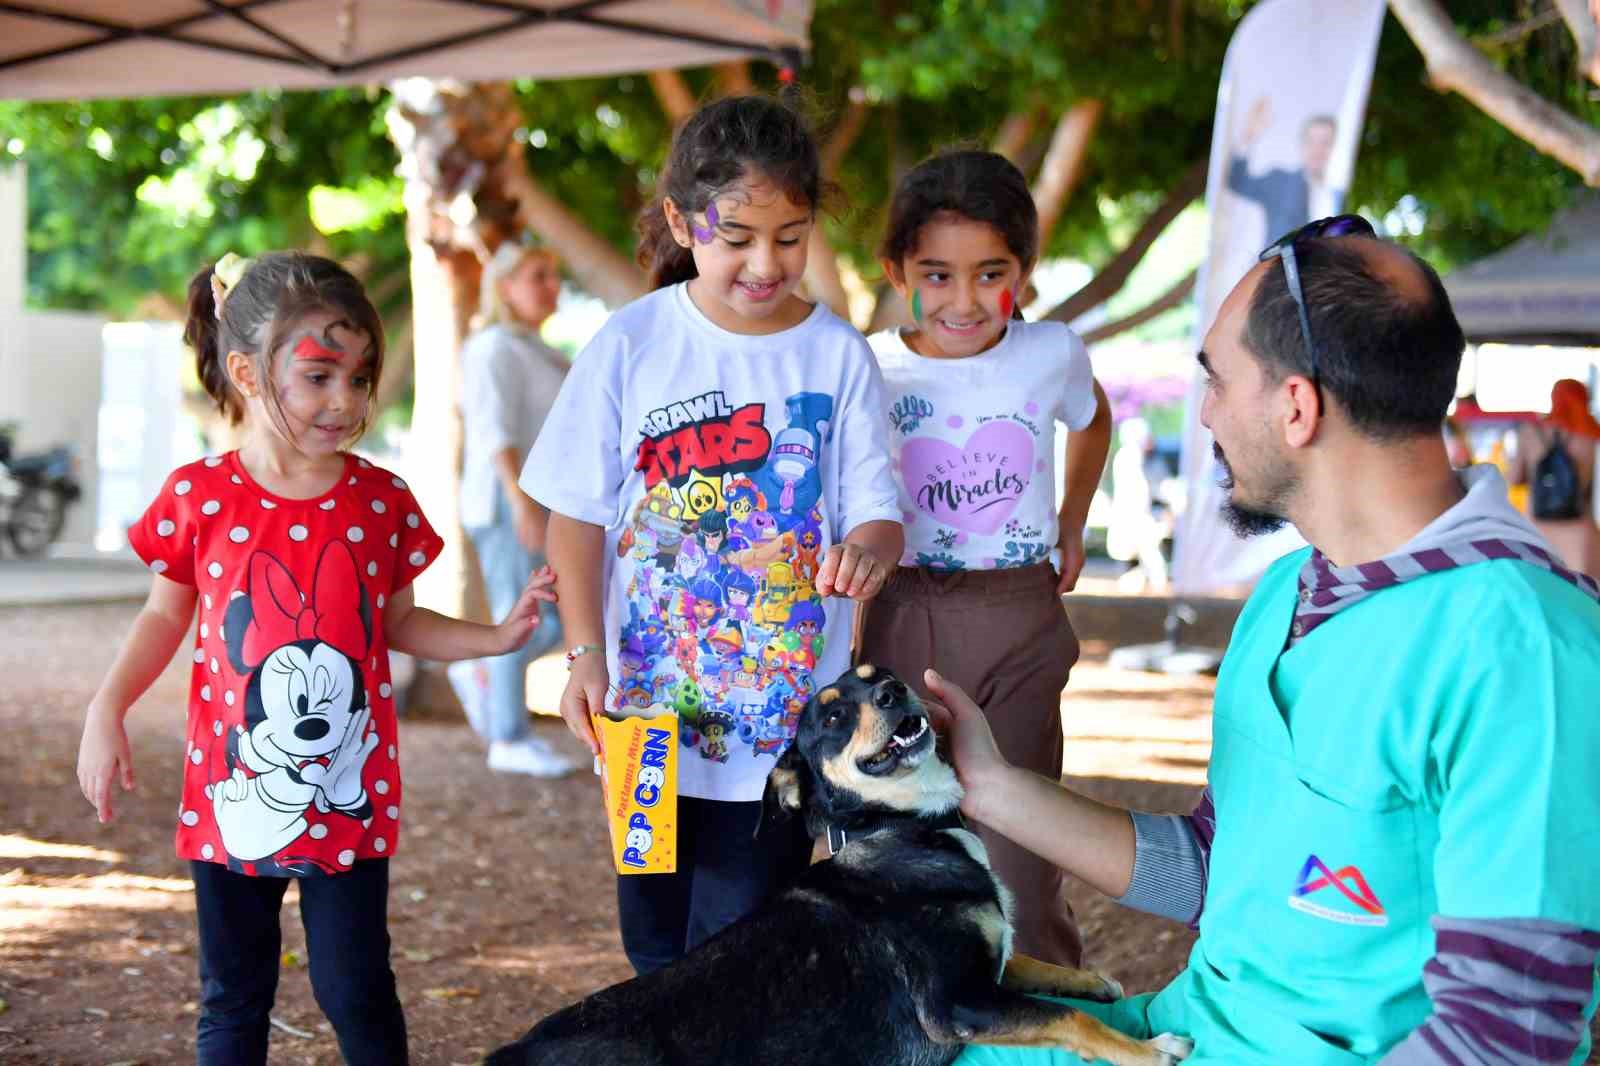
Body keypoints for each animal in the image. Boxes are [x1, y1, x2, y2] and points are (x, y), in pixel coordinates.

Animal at [486, 665, 1190, 1062]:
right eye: (833, 715)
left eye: (878, 674)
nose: (893, 690)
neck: (903, 825)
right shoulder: (955, 1003)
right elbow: (1066, 1018)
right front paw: (1152, 1050)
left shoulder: (987, 968)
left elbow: (1033, 963)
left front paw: (1093, 980)